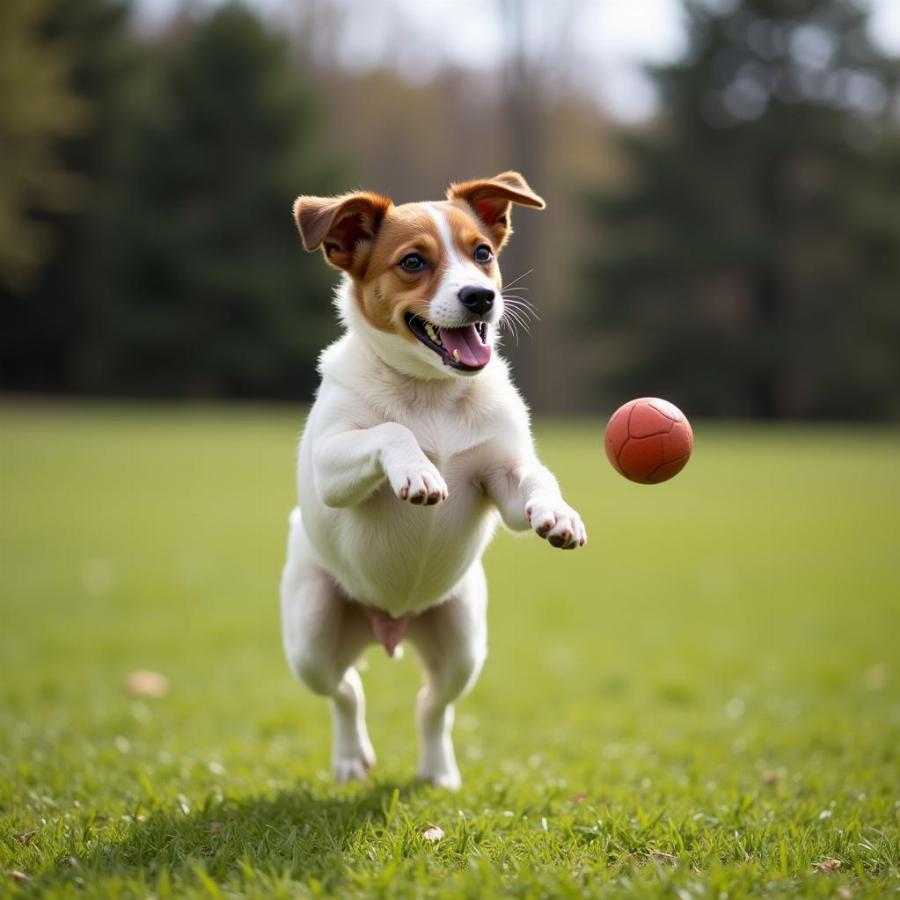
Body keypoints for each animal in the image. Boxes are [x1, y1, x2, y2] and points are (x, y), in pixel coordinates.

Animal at [282, 171, 592, 788]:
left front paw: (558, 513)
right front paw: (419, 470)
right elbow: (390, 431)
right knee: (346, 690)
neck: (430, 393)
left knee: (433, 704)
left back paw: (438, 770)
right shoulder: (331, 462)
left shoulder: (502, 476)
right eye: (412, 262)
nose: (481, 297)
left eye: (483, 254)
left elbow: (533, 480)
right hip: (312, 633)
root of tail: (391, 622)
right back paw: (351, 757)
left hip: (462, 640)